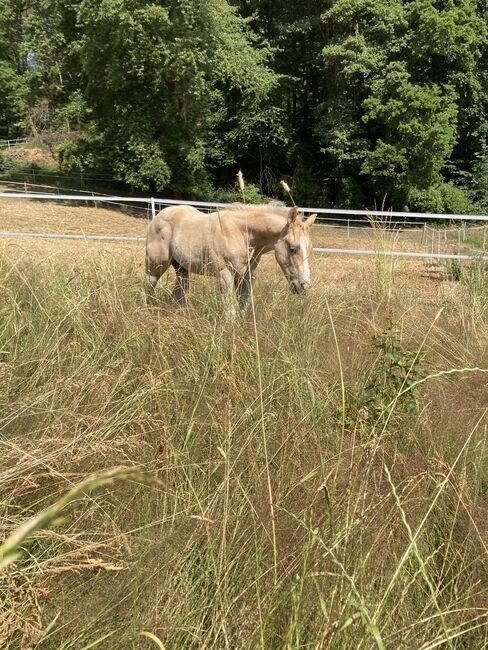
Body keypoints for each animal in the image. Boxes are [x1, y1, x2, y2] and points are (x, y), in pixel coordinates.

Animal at [143, 201, 316, 316]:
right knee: (147, 288)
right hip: (155, 267)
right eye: (293, 249)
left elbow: (243, 308)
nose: (305, 286)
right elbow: (230, 312)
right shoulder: (224, 274)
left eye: (310, 249)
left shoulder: (246, 276)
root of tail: (159, 216)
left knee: (179, 295)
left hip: (182, 269)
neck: (241, 233)